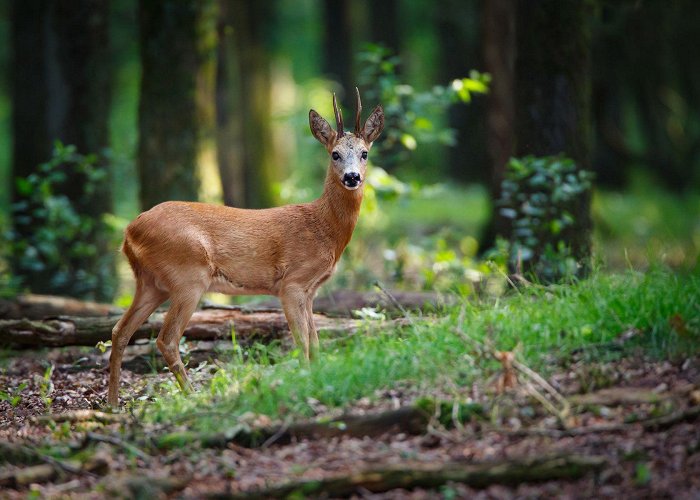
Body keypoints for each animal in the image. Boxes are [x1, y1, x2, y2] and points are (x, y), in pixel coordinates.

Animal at [106, 88, 386, 408]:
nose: (352, 177)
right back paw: (195, 398)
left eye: (365, 153)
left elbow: (315, 343)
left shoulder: (311, 291)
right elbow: (302, 343)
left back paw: (113, 404)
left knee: (120, 330)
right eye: (335, 154)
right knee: (167, 339)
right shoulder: (291, 284)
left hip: (152, 283)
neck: (323, 228)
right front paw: (305, 383)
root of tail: (130, 231)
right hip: (188, 276)